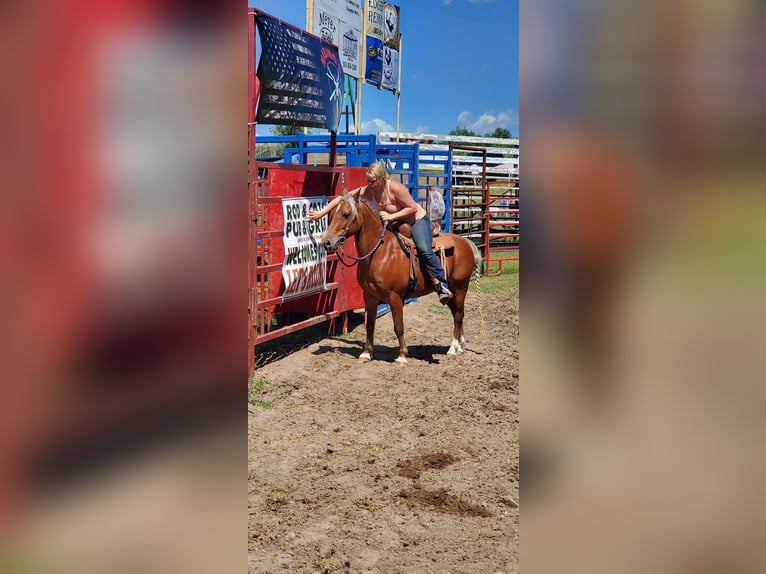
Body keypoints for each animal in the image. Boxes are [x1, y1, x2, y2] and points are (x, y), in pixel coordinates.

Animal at [322, 194, 480, 364]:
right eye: (333, 213)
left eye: (345, 214)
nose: (327, 242)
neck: (380, 252)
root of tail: (465, 242)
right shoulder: (369, 296)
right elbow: (370, 324)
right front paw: (366, 353)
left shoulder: (395, 297)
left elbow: (398, 326)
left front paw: (402, 356)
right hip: (451, 293)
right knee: (458, 313)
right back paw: (460, 346)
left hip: (460, 288)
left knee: (458, 315)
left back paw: (452, 348)